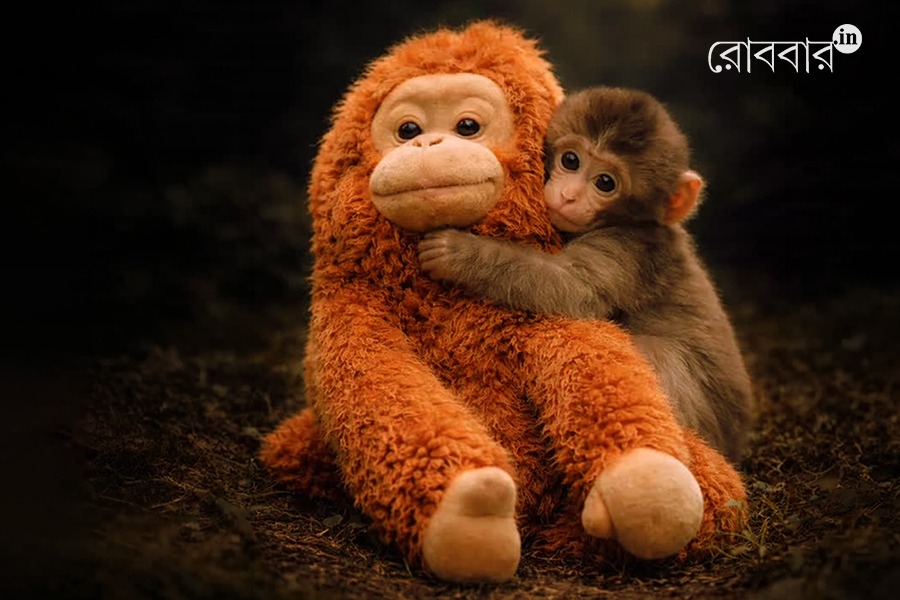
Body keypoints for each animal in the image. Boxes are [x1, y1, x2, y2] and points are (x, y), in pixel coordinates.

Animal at [419, 86, 754, 464]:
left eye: (605, 182)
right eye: (571, 161)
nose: (568, 196)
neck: (628, 223)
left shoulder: (626, 250)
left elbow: (570, 287)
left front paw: (457, 251)